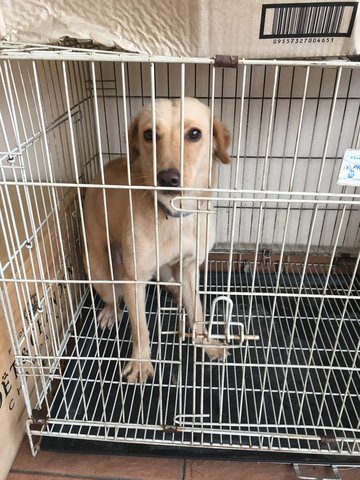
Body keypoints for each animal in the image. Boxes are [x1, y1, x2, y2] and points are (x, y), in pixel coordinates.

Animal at [83, 98, 231, 382]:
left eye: (194, 134)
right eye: (149, 135)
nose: (168, 178)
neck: (174, 216)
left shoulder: (189, 267)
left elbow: (198, 312)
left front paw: (206, 342)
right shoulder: (134, 278)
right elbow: (140, 327)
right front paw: (141, 363)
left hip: (166, 270)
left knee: (170, 284)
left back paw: (176, 292)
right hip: (101, 271)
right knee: (113, 297)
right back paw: (110, 312)